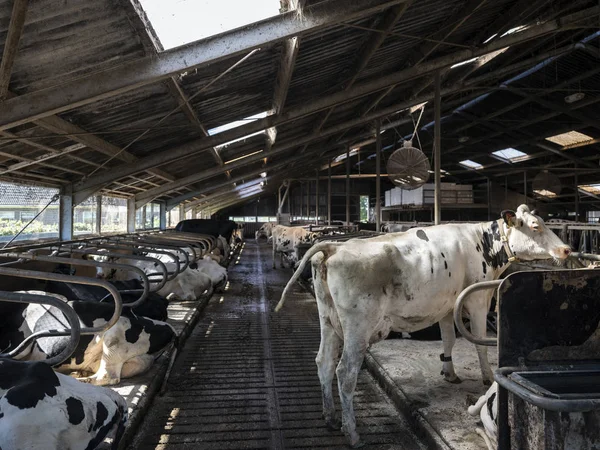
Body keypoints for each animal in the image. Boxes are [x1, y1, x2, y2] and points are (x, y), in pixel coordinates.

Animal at [274, 207, 568, 446]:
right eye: (535, 226)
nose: (566, 250)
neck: (480, 242)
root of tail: (335, 247)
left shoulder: (448, 304)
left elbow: (448, 338)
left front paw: (449, 372)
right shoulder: (476, 298)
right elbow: (479, 342)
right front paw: (486, 377)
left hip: (327, 319)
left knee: (324, 361)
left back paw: (331, 418)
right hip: (358, 326)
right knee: (345, 371)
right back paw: (352, 432)